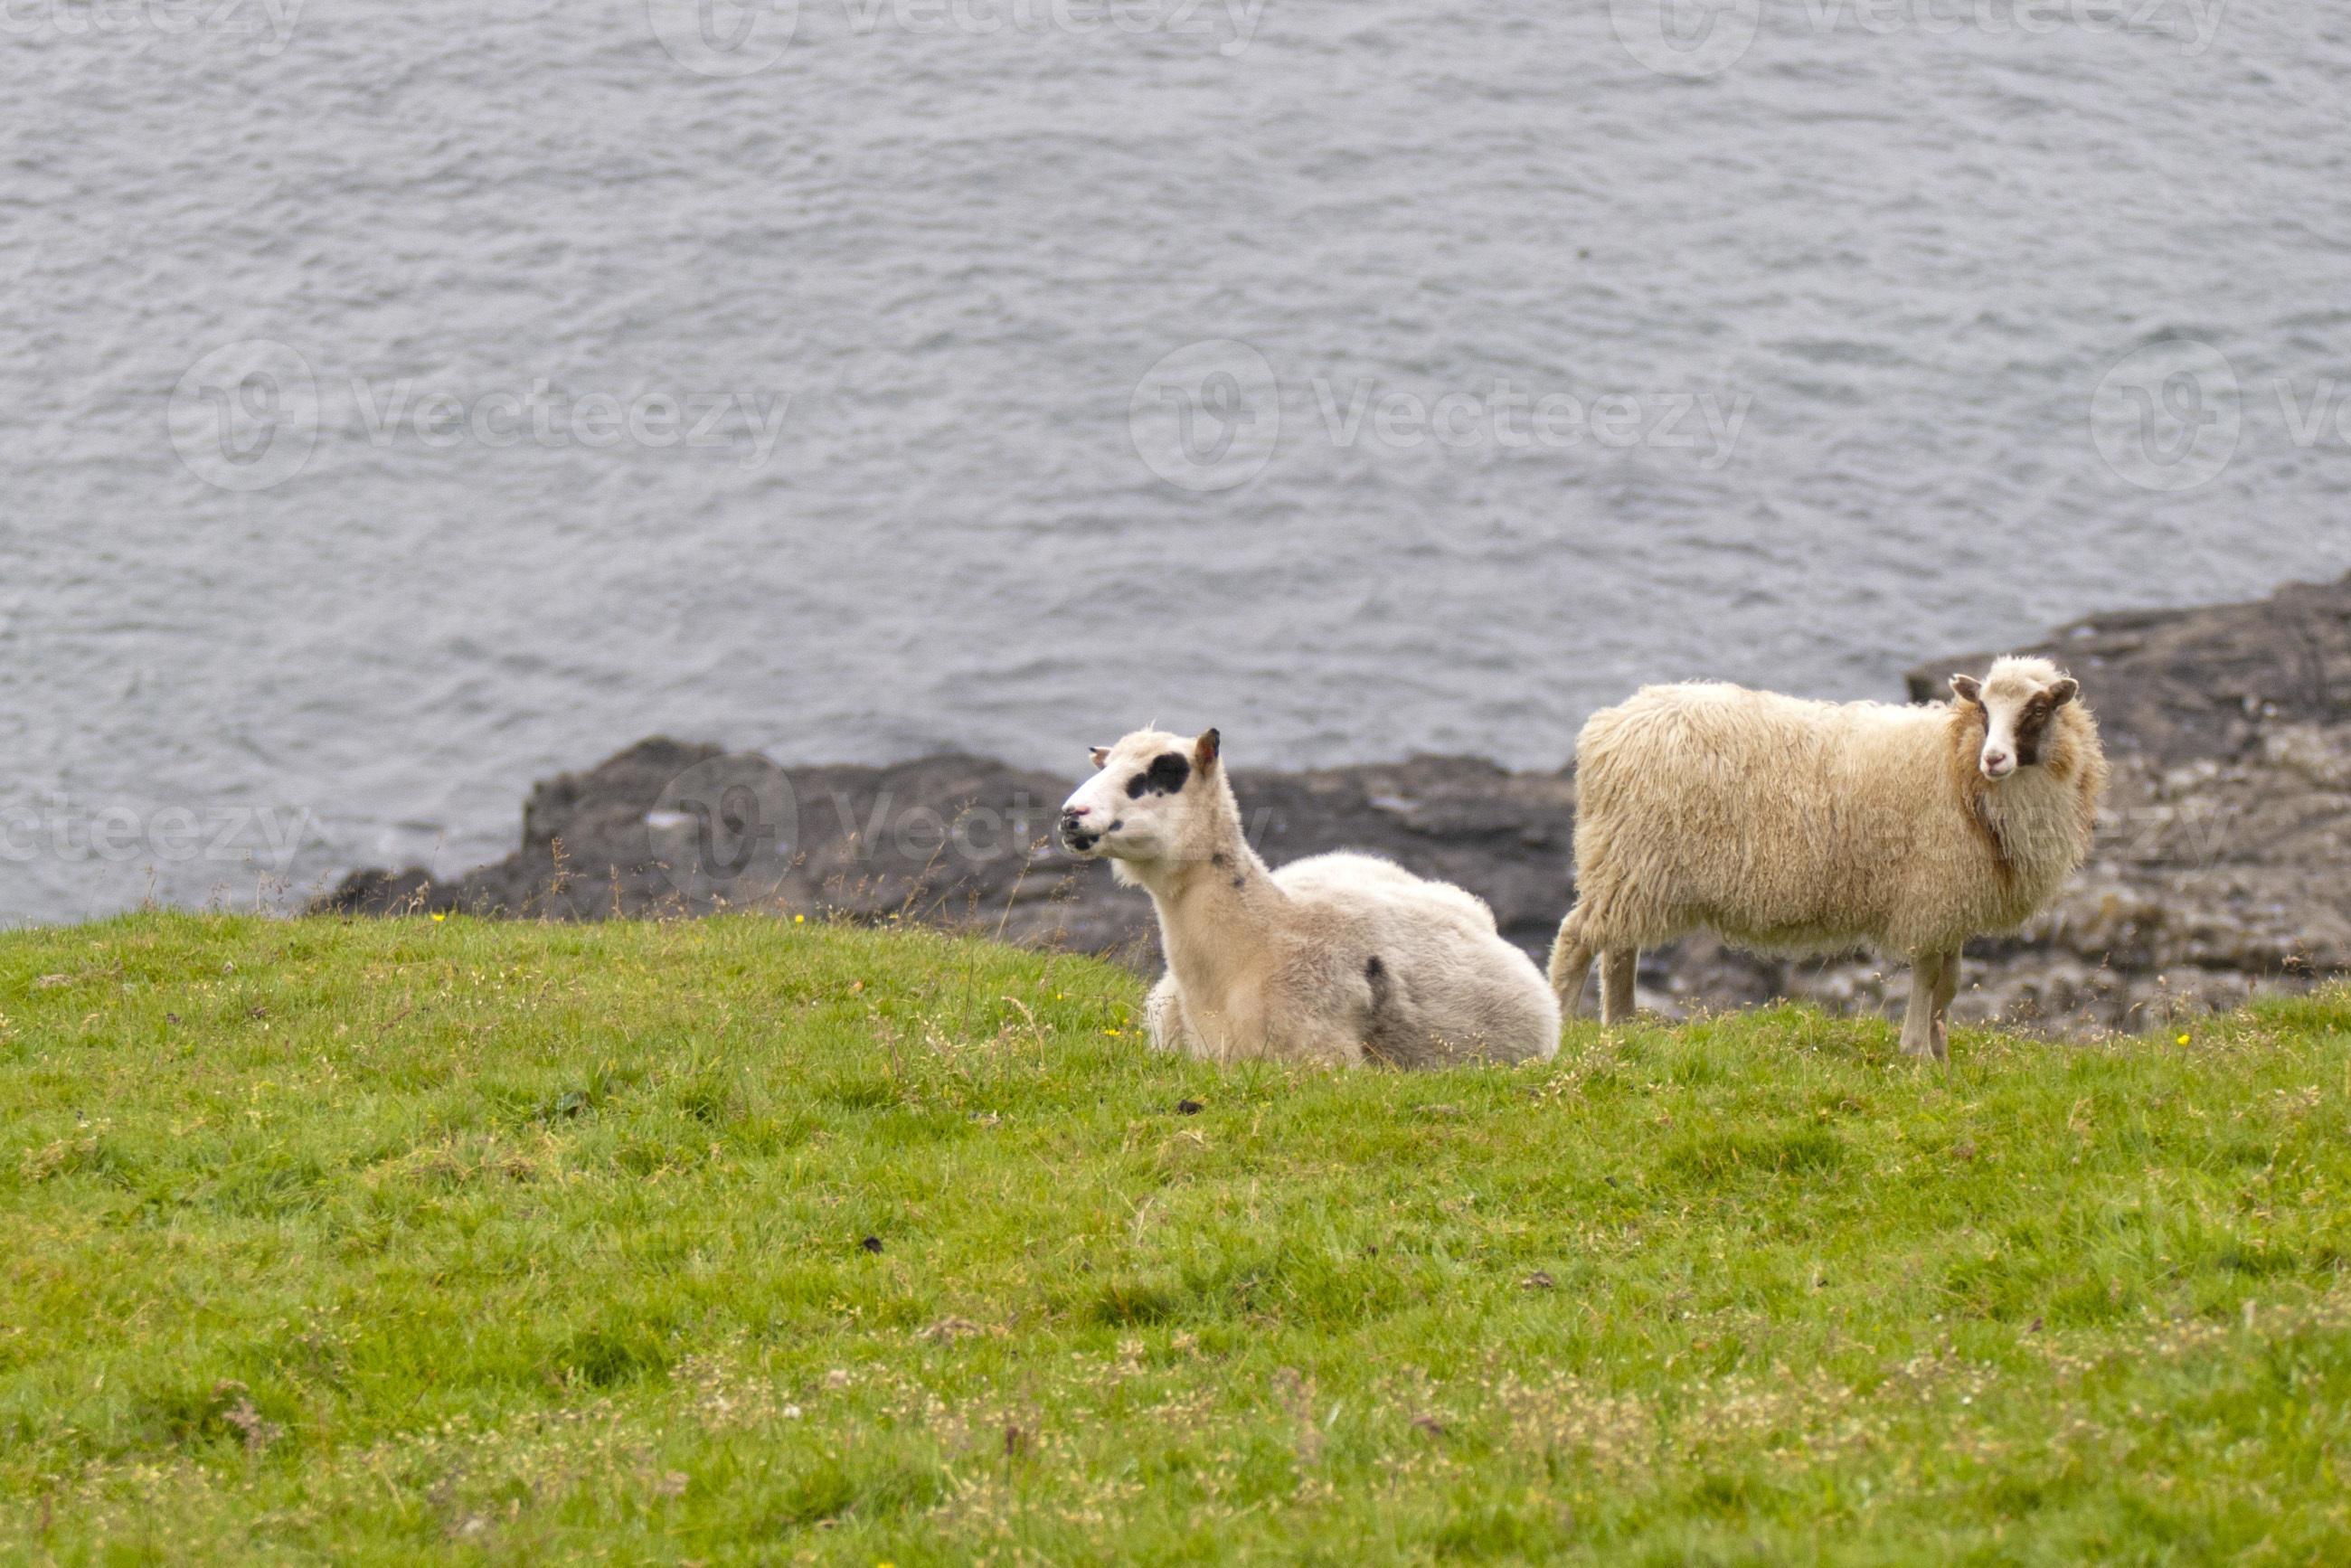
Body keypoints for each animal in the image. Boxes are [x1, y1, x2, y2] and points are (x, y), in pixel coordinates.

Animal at [1546, 656, 2106, 1060]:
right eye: (1984, 711)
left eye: (2038, 710)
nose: (1994, 758)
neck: (1956, 763)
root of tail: (1608, 728)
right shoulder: (1929, 894)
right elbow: (1929, 977)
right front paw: (1918, 1053)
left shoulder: (1952, 904)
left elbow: (1949, 984)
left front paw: (1941, 1053)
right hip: (1630, 857)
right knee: (1577, 940)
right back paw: (1562, 1024)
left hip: (1636, 869)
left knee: (1619, 949)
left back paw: (1623, 1028)